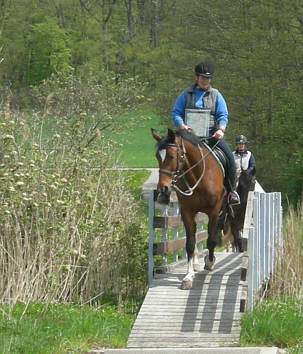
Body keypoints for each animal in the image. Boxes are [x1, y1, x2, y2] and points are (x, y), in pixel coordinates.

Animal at [152, 129, 226, 290]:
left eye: (171, 156)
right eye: (157, 156)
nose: (163, 189)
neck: (199, 178)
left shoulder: (214, 211)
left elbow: (211, 240)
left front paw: (210, 262)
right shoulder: (187, 212)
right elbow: (190, 243)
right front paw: (188, 276)